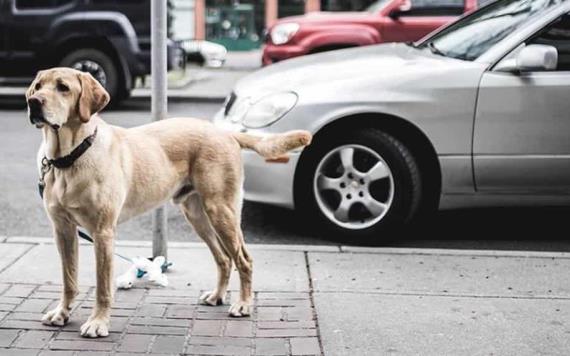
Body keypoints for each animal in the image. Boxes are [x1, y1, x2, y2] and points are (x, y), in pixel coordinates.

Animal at [26, 68, 310, 338]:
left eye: (63, 87)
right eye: (38, 86)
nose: (33, 102)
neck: (69, 158)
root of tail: (225, 133)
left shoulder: (103, 232)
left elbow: (103, 286)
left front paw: (98, 323)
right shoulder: (63, 230)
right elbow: (69, 279)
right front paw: (62, 313)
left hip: (222, 211)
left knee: (244, 259)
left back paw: (243, 304)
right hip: (198, 215)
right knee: (223, 258)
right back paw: (217, 296)